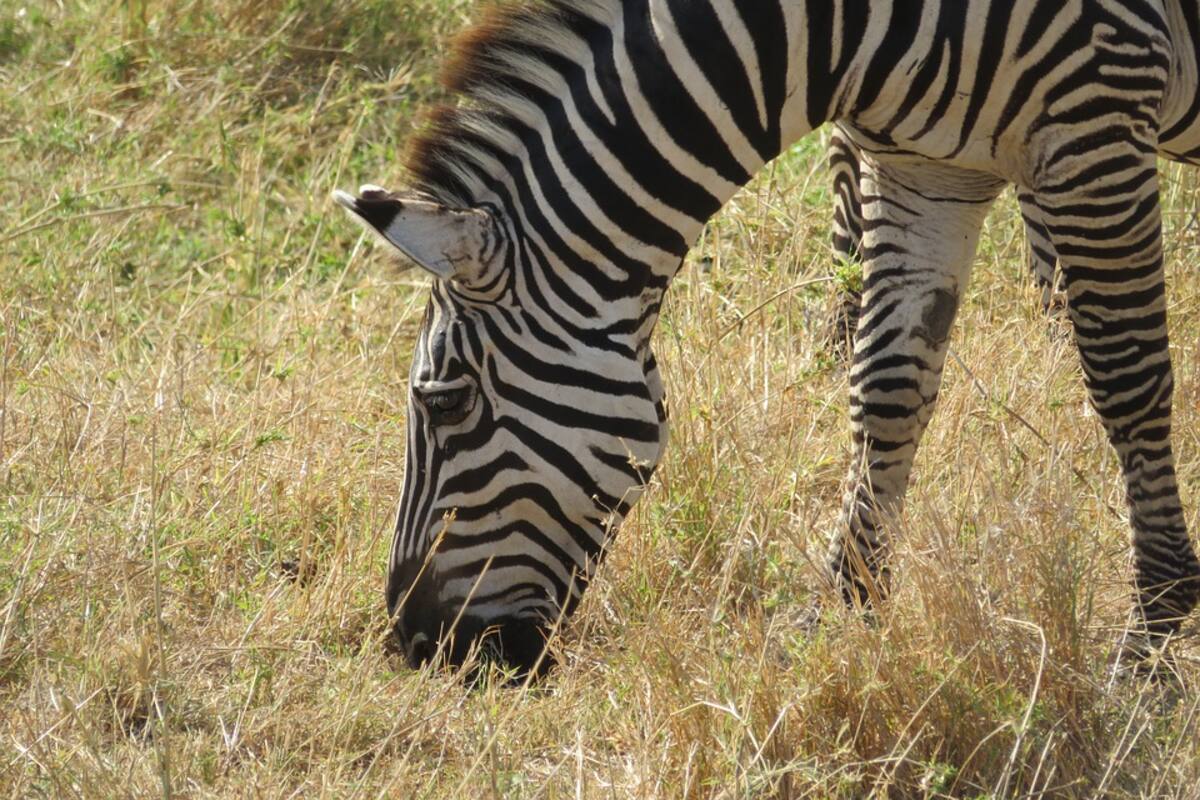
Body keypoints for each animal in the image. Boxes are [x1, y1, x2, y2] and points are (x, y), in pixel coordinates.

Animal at [335, 0, 1200, 676]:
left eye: (446, 403)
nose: (420, 646)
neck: (848, 30)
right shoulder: (930, 167)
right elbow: (886, 389)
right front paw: (845, 618)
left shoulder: (1095, 123)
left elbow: (1127, 382)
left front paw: (1153, 637)